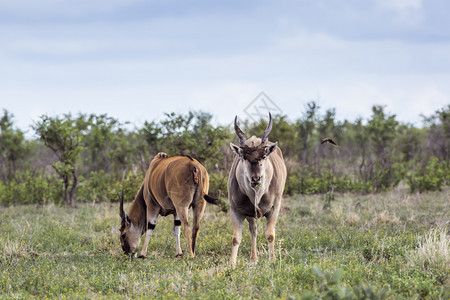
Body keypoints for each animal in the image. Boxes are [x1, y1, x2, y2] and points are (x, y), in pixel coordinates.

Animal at [229, 112, 288, 264]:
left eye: (264, 156)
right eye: (243, 157)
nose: (256, 179)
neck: (256, 194)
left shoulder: (275, 208)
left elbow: (270, 234)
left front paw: (272, 260)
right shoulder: (236, 210)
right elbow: (236, 238)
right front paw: (231, 264)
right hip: (251, 214)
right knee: (253, 231)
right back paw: (253, 259)